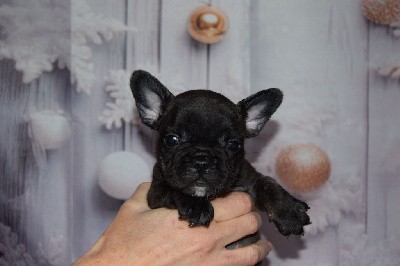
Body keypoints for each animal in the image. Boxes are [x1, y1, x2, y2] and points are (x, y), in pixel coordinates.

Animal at [130, 70, 310, 247]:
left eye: (233, 145)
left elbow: (267, 183)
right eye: (171, 140)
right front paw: (196, 205)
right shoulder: (156, 194)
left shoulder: (249, 178)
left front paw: (289, 212)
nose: (201, 160)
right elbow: (173, 189)